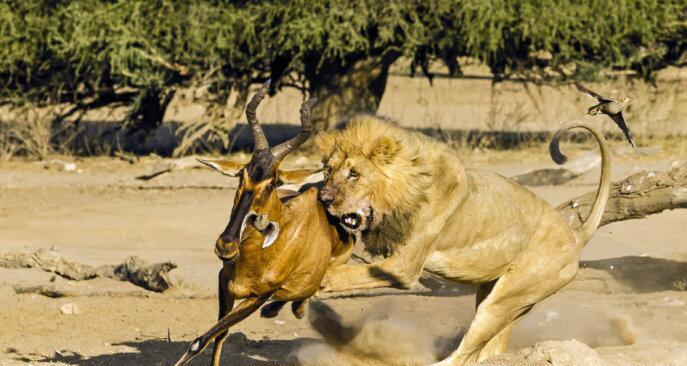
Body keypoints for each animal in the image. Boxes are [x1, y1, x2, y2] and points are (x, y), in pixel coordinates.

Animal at [172, 81, 354, 366]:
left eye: (271, 183)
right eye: (241, 174)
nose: (226, 245)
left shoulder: (258, 297)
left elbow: (200, 340)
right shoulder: (224, 283)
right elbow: (218, 334)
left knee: (309, 292)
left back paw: (293, 309)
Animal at [314, 116, 612, 364]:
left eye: (354, 173)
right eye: (328, 170)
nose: (323, 198)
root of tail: (575, 234)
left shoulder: (404, 268)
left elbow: (348, 274)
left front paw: (319, 281)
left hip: (501, 302)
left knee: (463, 355)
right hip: (505, 300)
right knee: (490, 351)